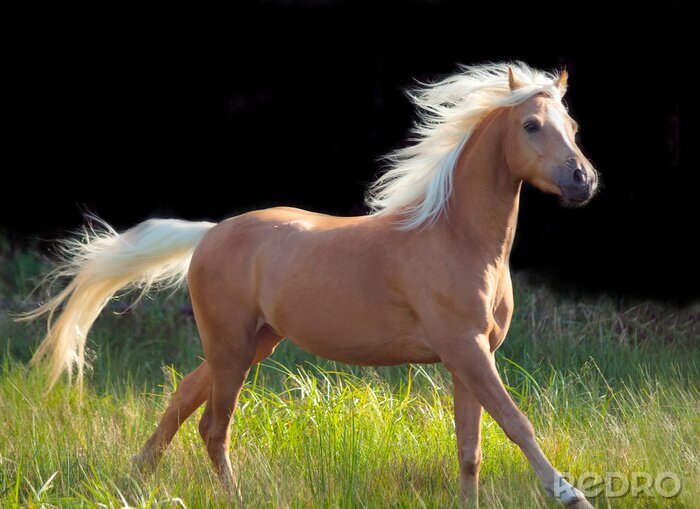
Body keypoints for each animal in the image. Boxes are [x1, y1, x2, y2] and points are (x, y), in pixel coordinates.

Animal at [22, 62, 598, 508]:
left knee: (184, 397)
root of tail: (210, 233)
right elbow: (516, 423)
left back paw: (137, 475)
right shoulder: (467, 349)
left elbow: (470, 447)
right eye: (530, 125)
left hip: (253, 343)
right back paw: (233, 497)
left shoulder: (470, 358)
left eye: (571, 124)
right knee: (213, 425)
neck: (456, 237)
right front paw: (570, 494)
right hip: (233, 347)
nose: (583, 180)